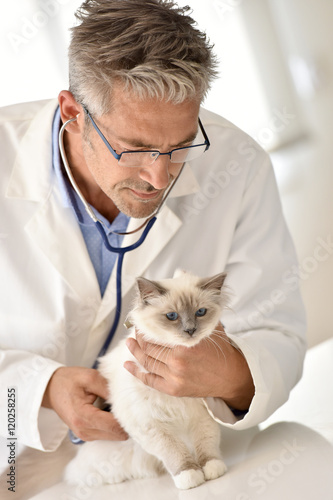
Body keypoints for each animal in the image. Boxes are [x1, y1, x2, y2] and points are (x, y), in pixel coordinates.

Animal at [64, 270, 228, 488]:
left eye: (200, 312)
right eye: (172, 316)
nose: (190, 330)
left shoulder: (202, 416)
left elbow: (207, 446)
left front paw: (212, 469)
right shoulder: (151, 425)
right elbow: (175, 452)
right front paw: (189, 477)